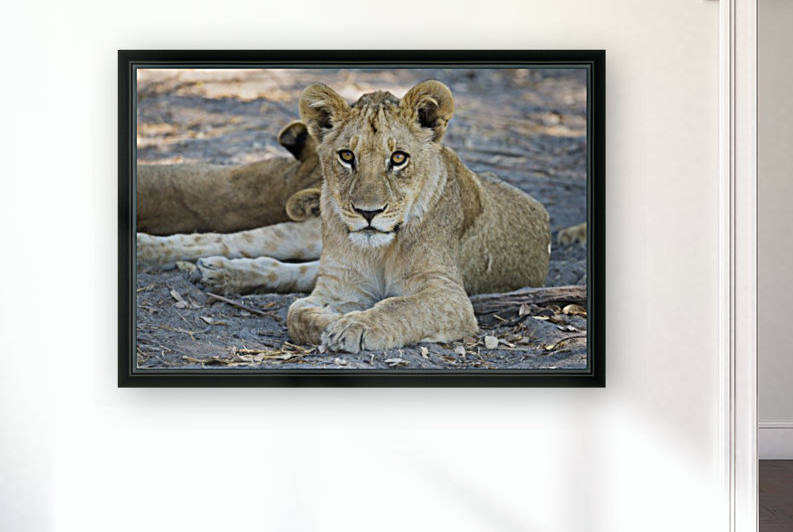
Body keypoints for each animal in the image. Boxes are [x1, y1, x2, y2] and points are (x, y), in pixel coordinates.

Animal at [286, 80, 551, 353]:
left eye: (398, 158)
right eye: (347, 156)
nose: (368, 212)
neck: (379, 252)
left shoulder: (450, 294)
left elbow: (400, 307)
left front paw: (353, 324)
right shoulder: (339, 286)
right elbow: (296, 314)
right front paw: (334, 319)